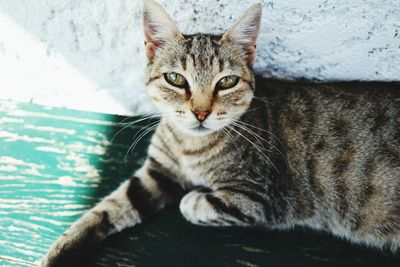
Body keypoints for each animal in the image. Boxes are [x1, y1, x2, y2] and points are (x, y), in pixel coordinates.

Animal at [40, 0, 400, 266]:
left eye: (226, 81)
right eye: (175, 79)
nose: (201, 112)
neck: (189, 145)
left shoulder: (260, 199)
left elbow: (191, 205)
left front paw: (194, 197)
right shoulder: (157, 172)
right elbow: (108, 208)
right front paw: (60, 250)